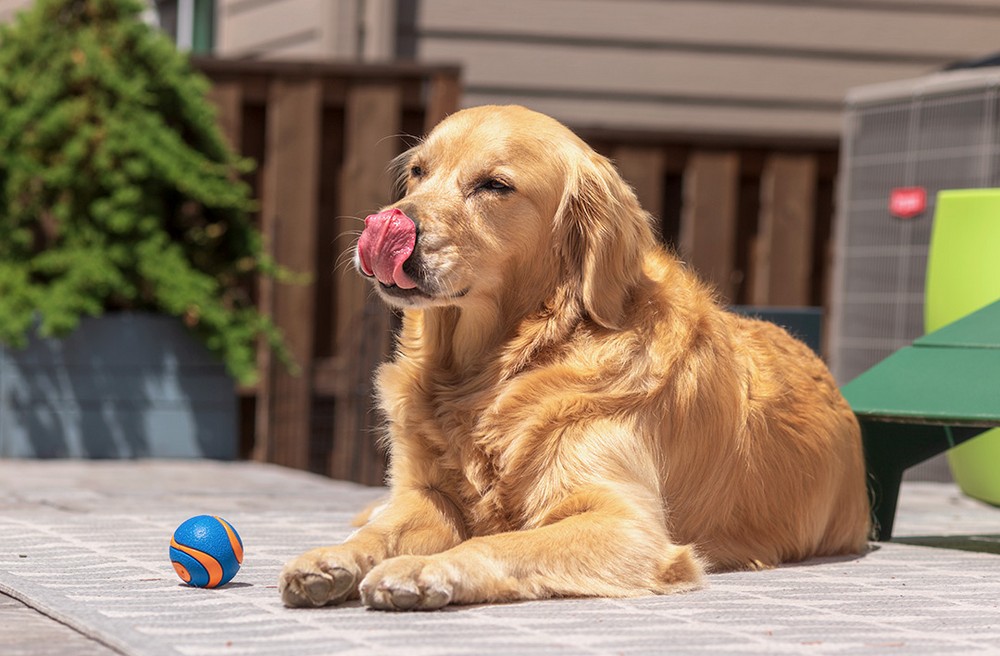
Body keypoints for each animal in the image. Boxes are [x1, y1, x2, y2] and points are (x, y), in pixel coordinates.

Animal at [276, 105, 868, 612]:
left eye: (494, 186)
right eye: (418, 172)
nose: (386, 224)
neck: (499, 369)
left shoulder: (626, 524)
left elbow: (505, 543)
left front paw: (424, 569)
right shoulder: (427, 493)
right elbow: (385, 529)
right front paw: (333, 558)